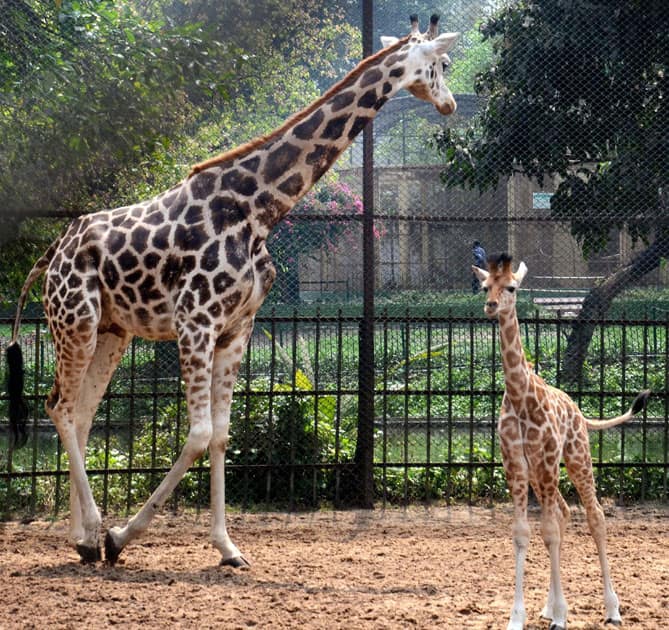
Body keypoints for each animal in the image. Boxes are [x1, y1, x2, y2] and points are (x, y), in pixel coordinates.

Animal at [6, 14, 460, 568]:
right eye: (442, 64)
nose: (449, 104)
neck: (258, 211)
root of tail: (52, 253)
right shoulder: (195, 322)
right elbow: (199, 434)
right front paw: (121, 535)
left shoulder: (236, 328)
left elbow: (221, 436)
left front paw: (227, 547)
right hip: (76, 321)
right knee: (59, 406)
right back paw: (95, 531)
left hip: (112, 331)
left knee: (82, 411)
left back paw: (82, 539)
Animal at [472, 253, 648, 630]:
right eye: (484, 286)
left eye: (512, 287)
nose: (491, 305)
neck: (521, 396)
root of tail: (579, 410)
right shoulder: (515, 466)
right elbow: (523, 533)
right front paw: (520, 617)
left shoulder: (548, 462)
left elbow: (549, 531)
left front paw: (562, 616)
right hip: (543, 476)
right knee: (566, 513)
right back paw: (549, 606)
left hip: (576, 457)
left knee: (595, 516)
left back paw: (612, 610)